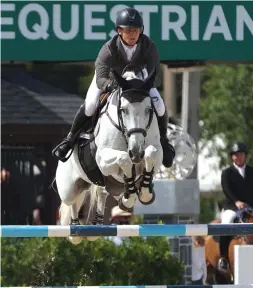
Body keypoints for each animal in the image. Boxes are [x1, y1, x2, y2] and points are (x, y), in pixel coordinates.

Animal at [54, 66, 163, 244]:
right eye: (123, 110)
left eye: (149, 110)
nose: (136, 152)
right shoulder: (103, 160)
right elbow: (124, 159)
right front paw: (129, 196)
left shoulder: (157, 152)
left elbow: (151, 154)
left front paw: (144, 193)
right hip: (68, 188)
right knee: (73, 200)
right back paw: (75, 230)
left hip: (98, 185)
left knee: (101, 192)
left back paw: (97, 224)